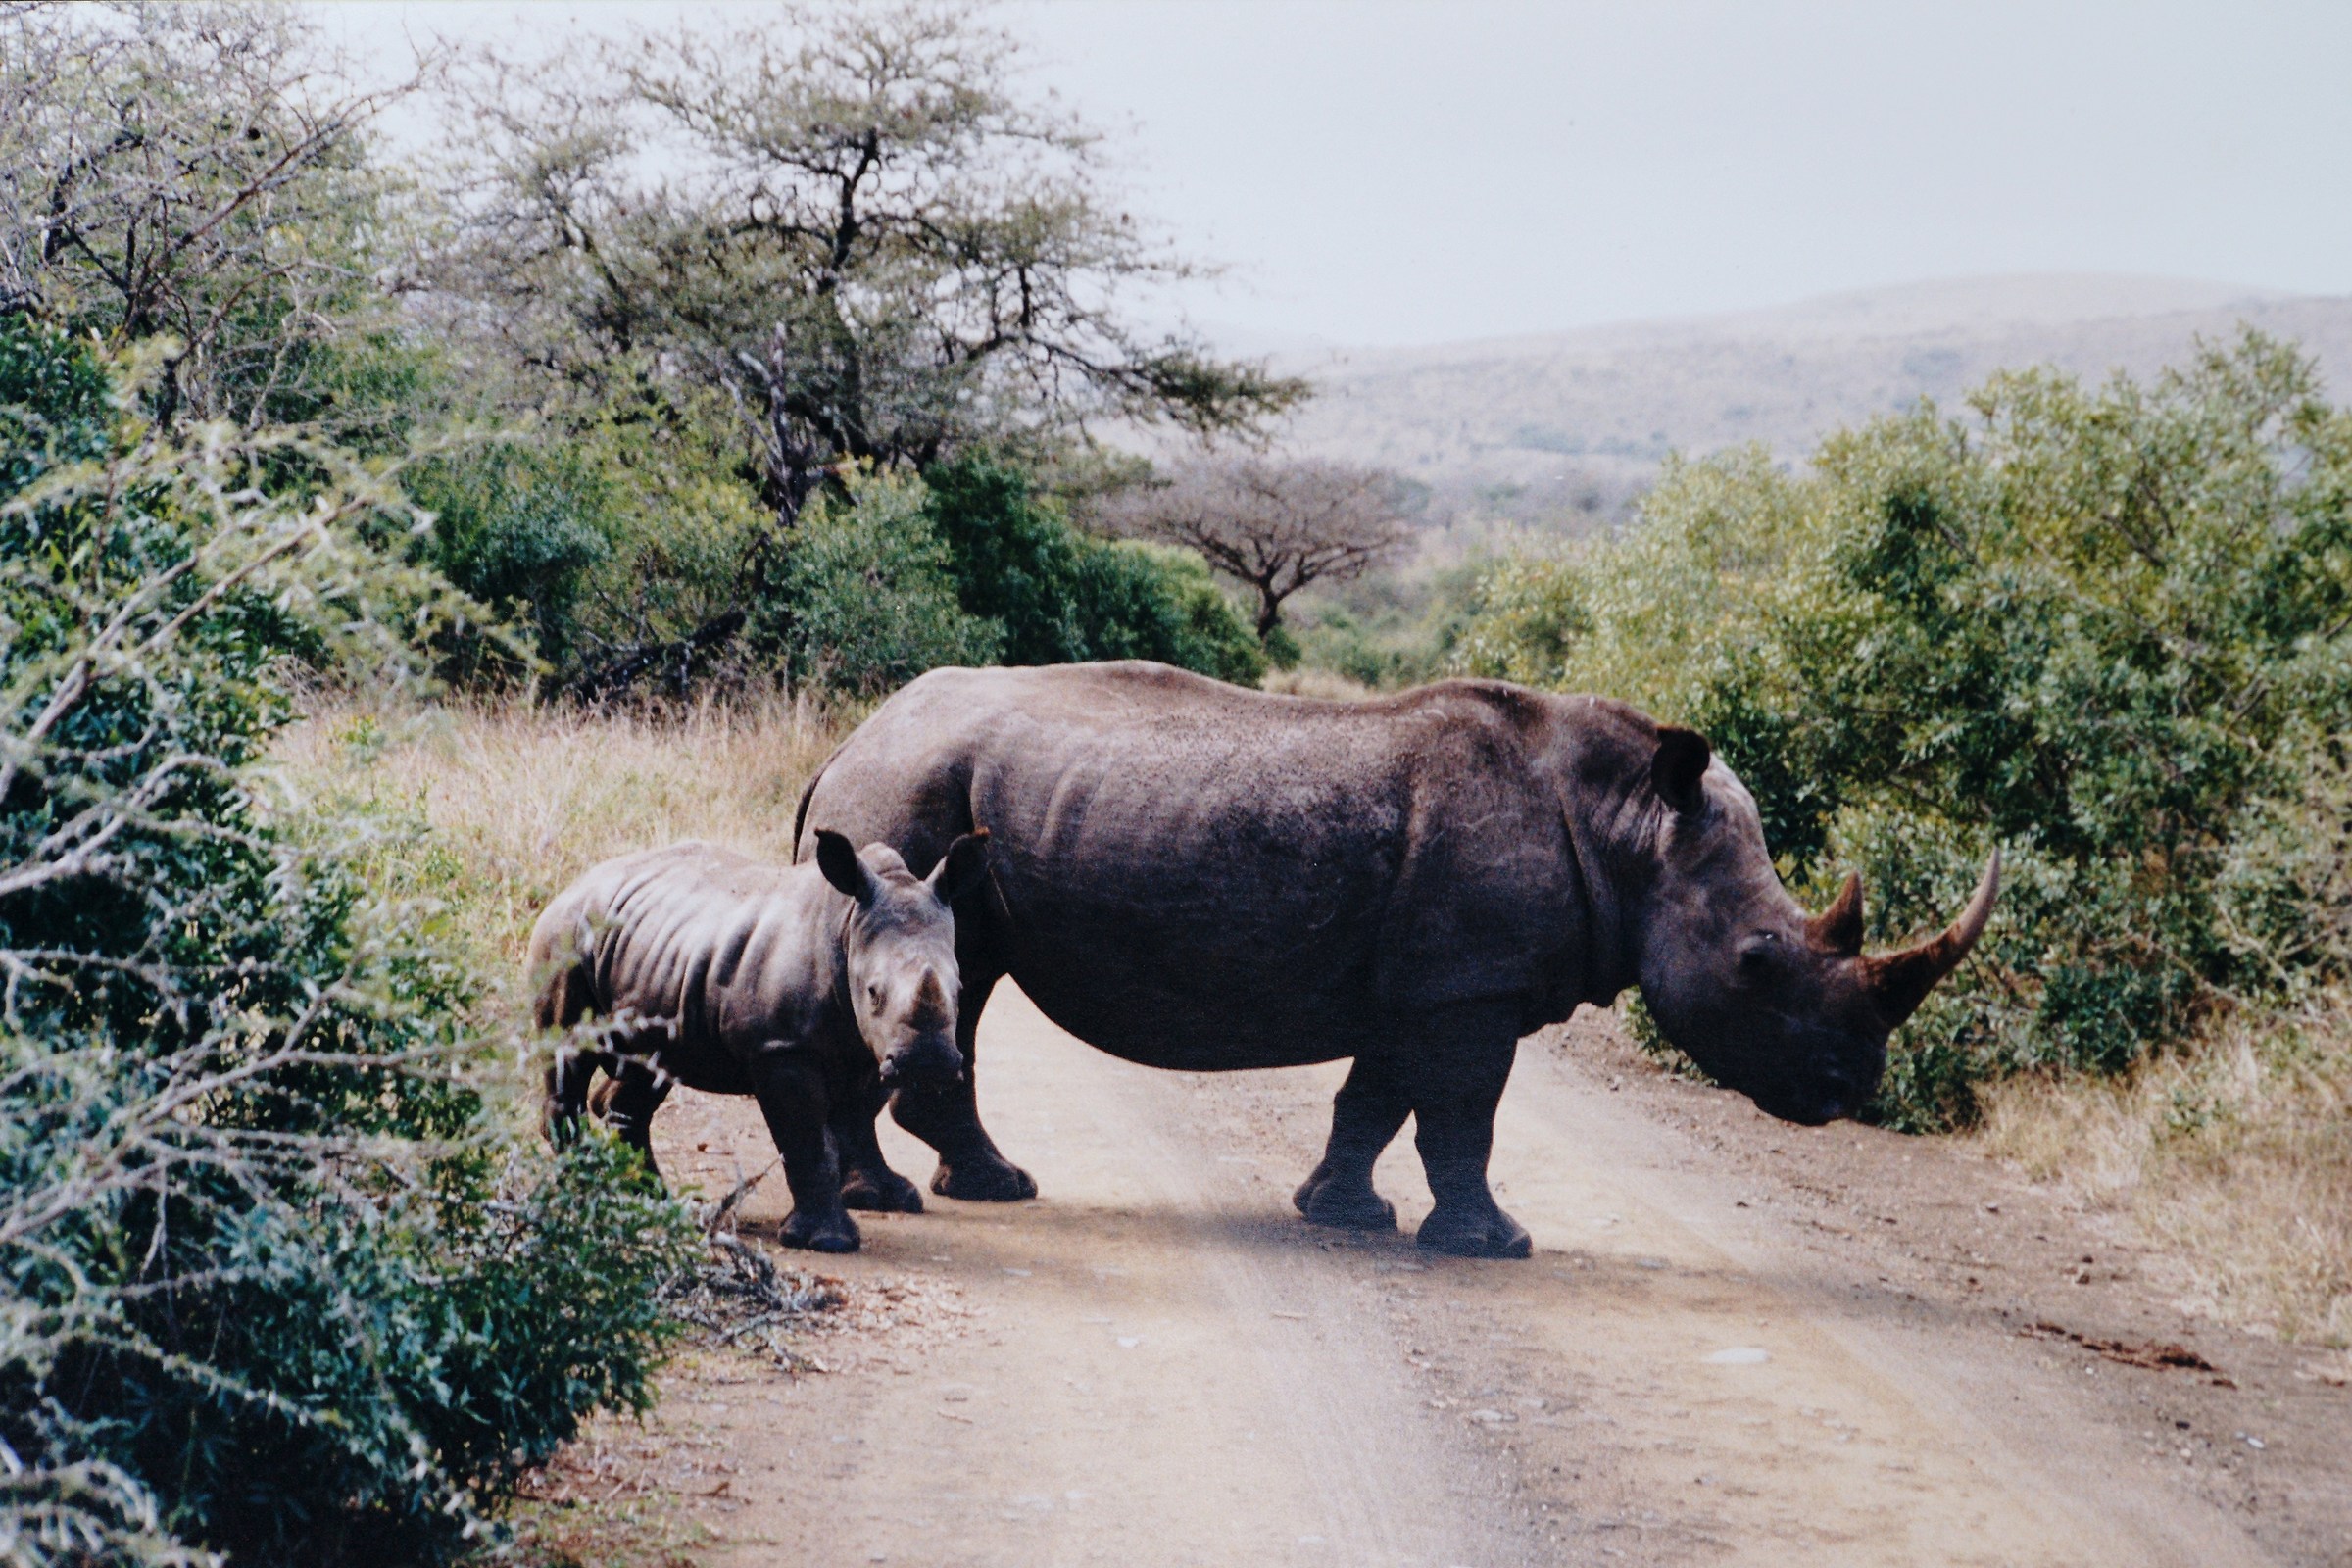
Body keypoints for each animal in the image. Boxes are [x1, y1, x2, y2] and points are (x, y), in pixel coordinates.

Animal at [530, 831, 991, 1252]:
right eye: (874, 992)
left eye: (959, 989)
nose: (927, 1063)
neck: (846, 927)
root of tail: (574, 885)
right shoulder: (781, 1048)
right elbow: (807, 1138)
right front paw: (827, 1241)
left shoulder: (868, 1051)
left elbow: (854, 1122)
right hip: (567, 937)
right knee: (569, 1051)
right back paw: (586, 1193)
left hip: (656, 949)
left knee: (649, 1071)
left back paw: (654, 1201)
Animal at [793, 662, 1997, 1258]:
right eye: (1756, 961)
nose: (1850, 1089)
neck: (1632, 829)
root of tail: (846, 741)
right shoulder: (1470, 988)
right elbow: (1460, 1115)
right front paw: (1496, 1246)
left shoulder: (1429, 986)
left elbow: (1374, 1100)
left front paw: (1340, 1214)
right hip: (909, 790)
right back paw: (942, 1194)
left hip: (921, 794)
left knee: (956, 974)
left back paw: (960, 1190)